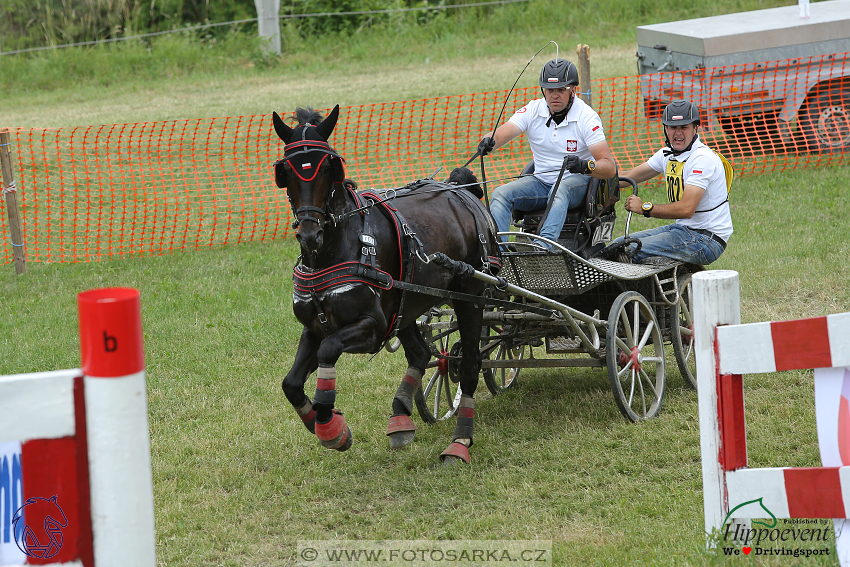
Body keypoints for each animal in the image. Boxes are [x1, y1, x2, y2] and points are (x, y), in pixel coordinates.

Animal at [272, 106, 500, 466]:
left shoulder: (371, 326)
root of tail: (462, 192)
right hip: (407, 304)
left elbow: (328, 351)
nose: (310, 234)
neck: (339, 246)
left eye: (328, 167)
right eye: (287, 172)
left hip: (470, 297)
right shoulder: (315, 326)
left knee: (470, 365)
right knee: (421, 353)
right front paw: (325, 426)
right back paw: (401, 416)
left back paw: (460, 441)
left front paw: (330, 424)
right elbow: (291, 383)